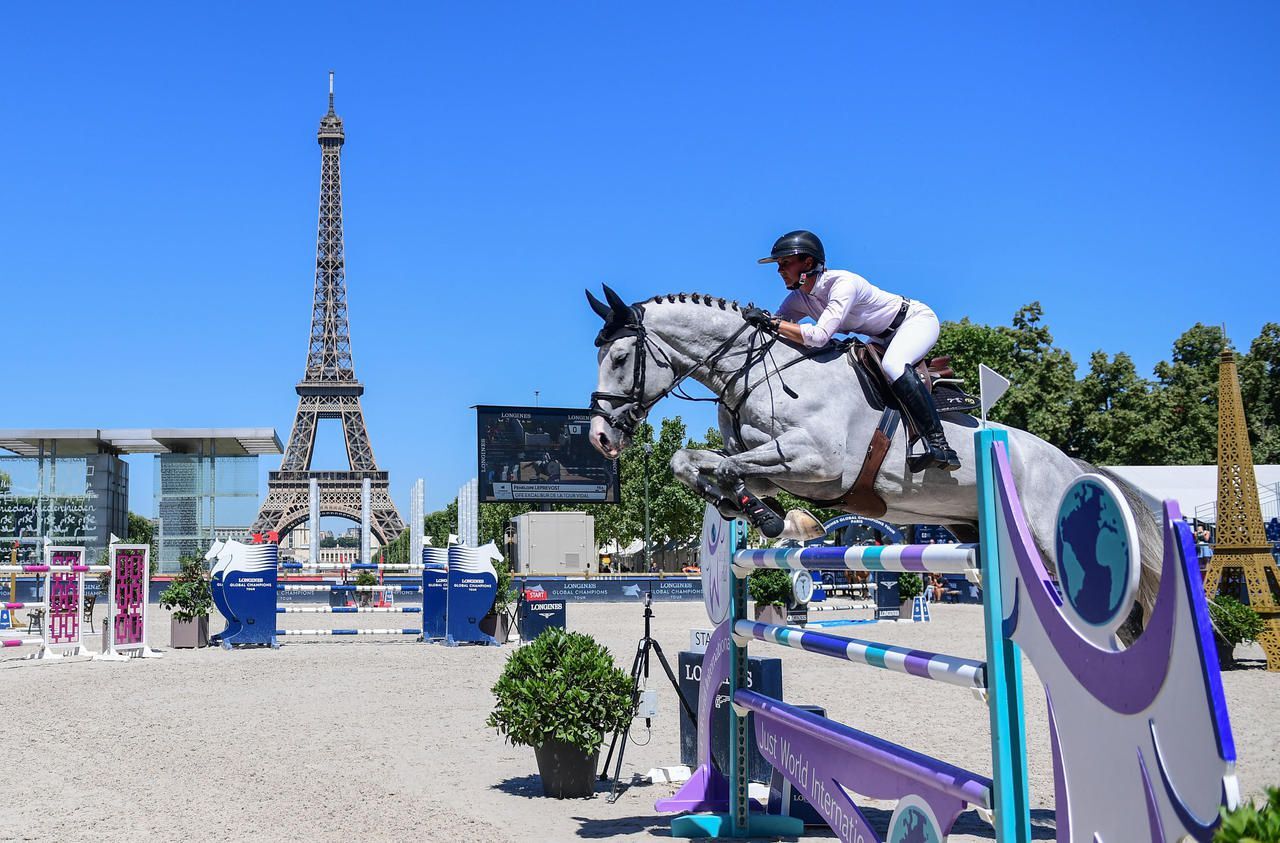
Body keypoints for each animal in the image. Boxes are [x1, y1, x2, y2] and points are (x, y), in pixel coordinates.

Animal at [586, 286, 1167, 629]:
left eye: (620, 357)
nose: (600, 438)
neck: (759, 370)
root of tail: (1074, 465)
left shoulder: (816, 466)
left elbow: (729, 467)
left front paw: (769, 518)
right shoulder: (774, 465)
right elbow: (691, 462)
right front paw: (757, 513)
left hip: (1047, 543)